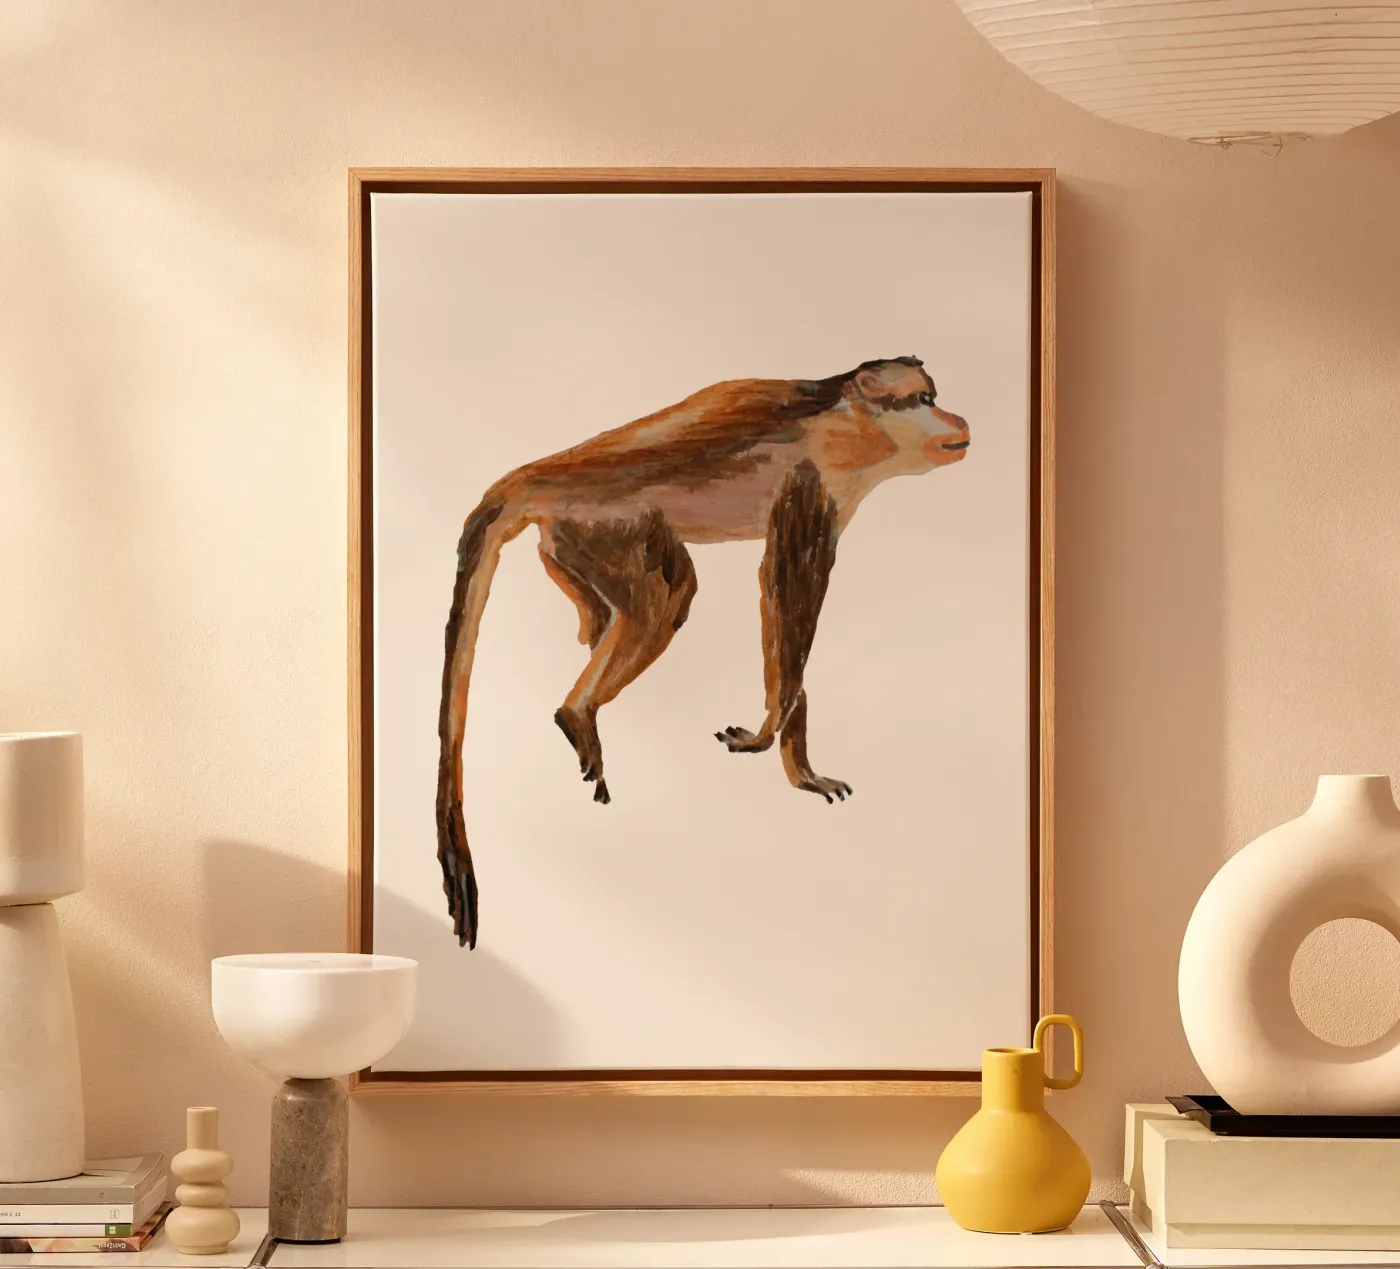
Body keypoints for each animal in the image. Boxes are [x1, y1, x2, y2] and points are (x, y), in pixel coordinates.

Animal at [437, 356, 970, 946]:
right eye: (925, 400)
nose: (956, 419)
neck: (847, 414)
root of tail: (537, 475)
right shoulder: (812, 478)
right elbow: (785, 590)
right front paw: (766, 736)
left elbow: (786, 619)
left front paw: (800, 767)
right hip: (606, 519)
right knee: (668, 597)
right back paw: (576, 712)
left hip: (568, 540)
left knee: (616, 609)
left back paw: (586, 677)